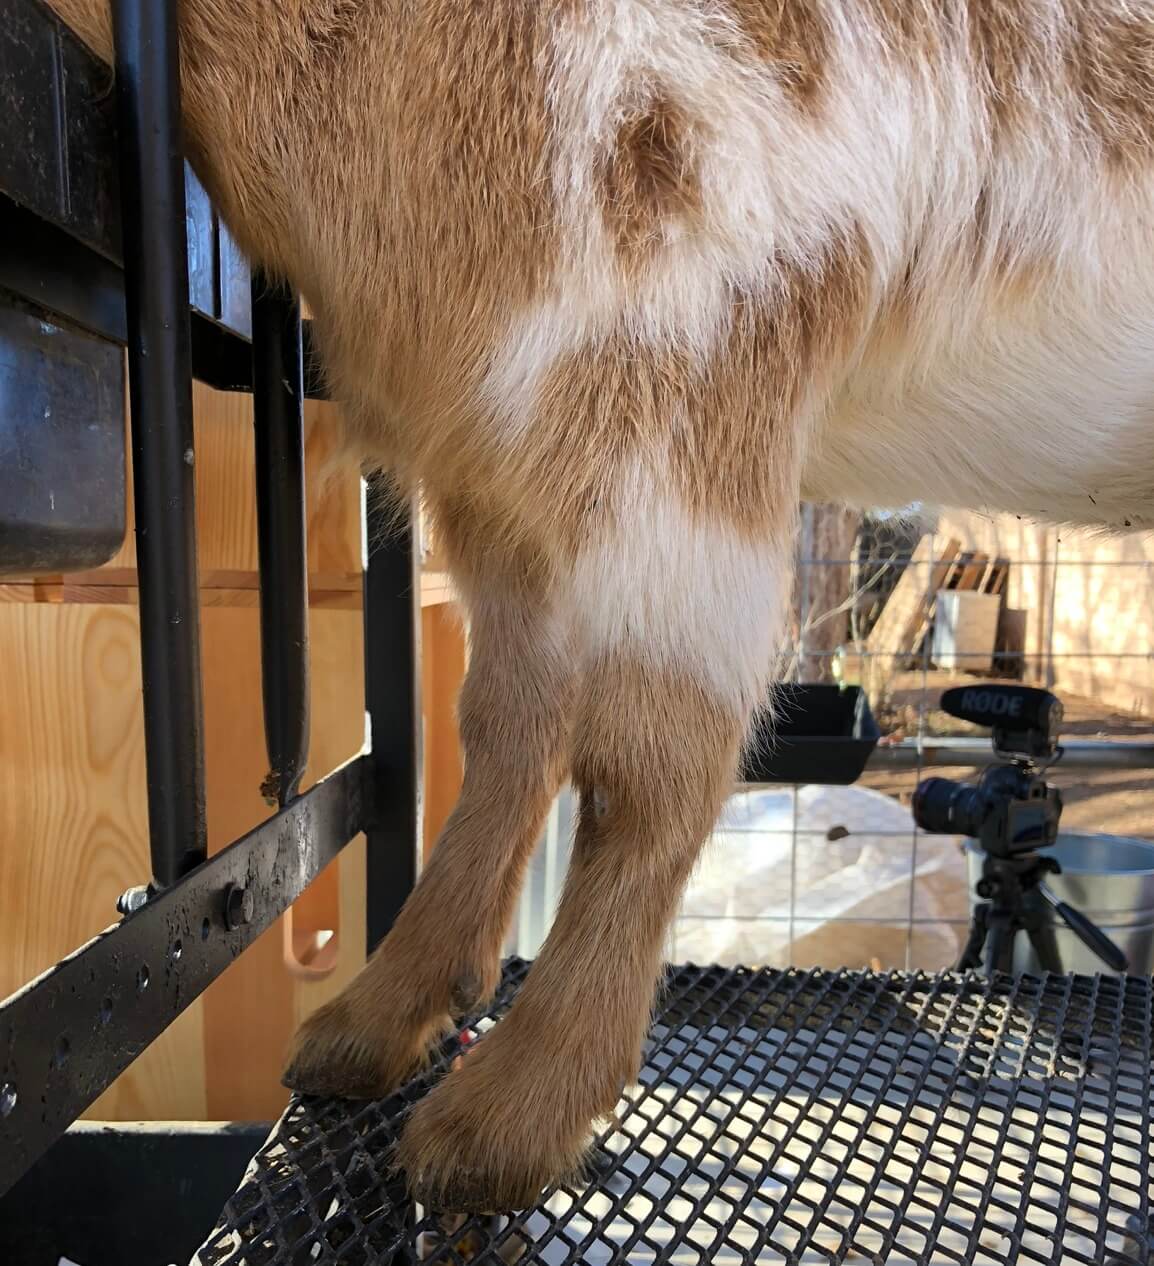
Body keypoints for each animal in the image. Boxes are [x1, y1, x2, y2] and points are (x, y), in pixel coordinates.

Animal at [47, 0, 1154, 1212]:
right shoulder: (495, 463)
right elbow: (506, 726)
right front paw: (382, 1015)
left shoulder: (681, 386)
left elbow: (648, 760)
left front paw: (509, 1118)